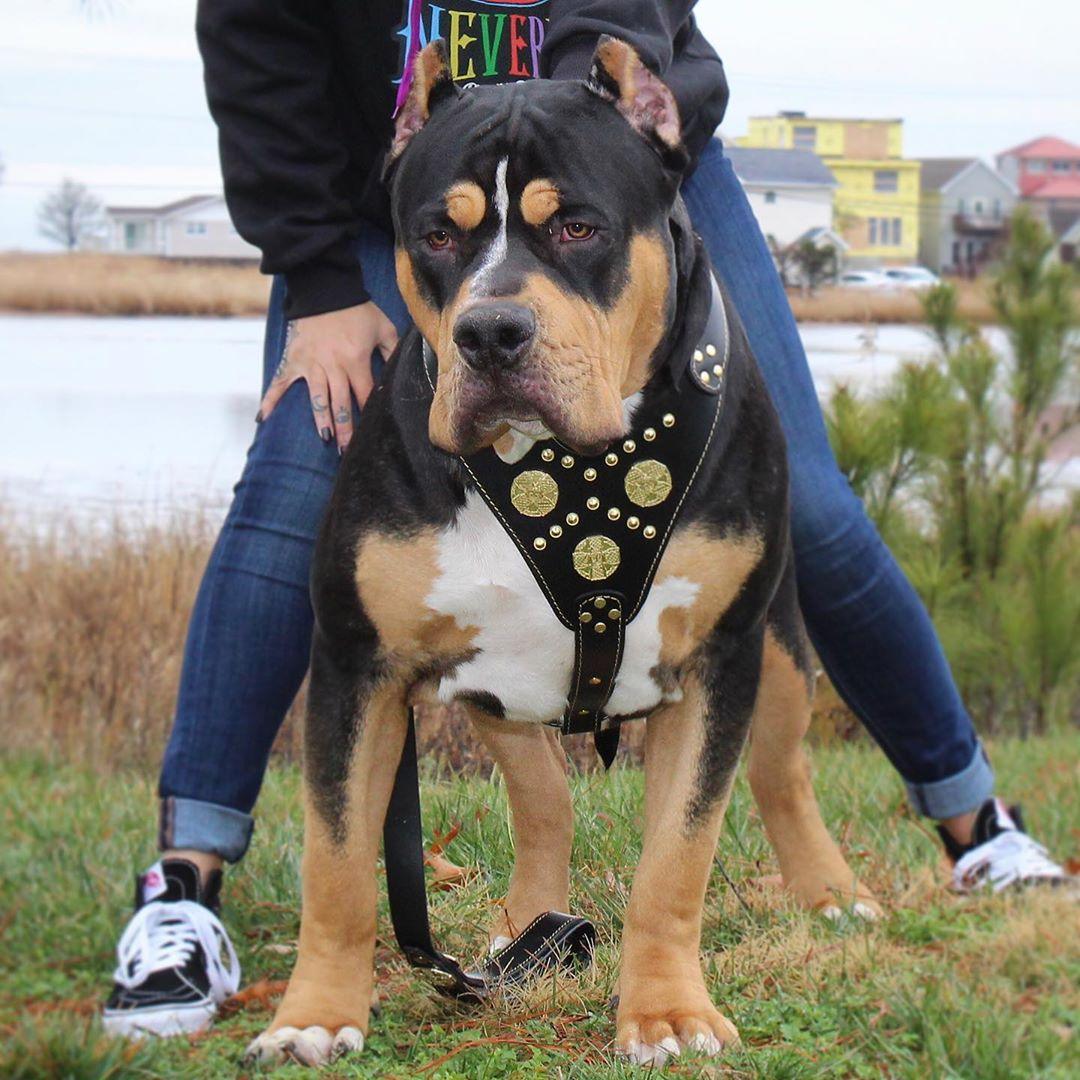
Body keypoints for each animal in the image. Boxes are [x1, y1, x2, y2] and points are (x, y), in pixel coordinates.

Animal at [248, 38, 881, 1067]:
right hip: (494, 683)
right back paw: (531, 924)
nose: (491, 331)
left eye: (579, 228)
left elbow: (677, 859)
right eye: (437, 236)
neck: (561, 467)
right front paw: (314, 1014)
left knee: (781, 772)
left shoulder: (714, 667)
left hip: (779, 644)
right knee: (545, 793)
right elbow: (336, 856)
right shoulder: (356, 666)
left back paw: (830, 894)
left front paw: (667, 1013)